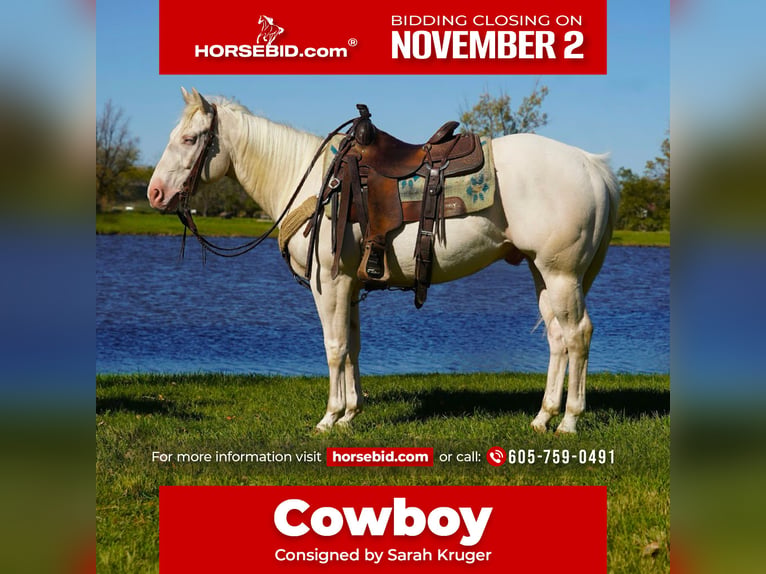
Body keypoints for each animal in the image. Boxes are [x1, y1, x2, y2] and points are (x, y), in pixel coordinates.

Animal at [147, 88, 620, 434]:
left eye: (190, 139)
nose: (154, 193)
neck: (316, 184)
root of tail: (592, 164)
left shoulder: (329, 284)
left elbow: (334, 347)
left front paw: (329, 418)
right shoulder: (351, 286)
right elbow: (353, 346)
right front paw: (351, 414)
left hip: (561, 273)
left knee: (578, 335)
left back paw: (570, 421)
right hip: (543, 272)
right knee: (557, 338)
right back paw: (542, 418)